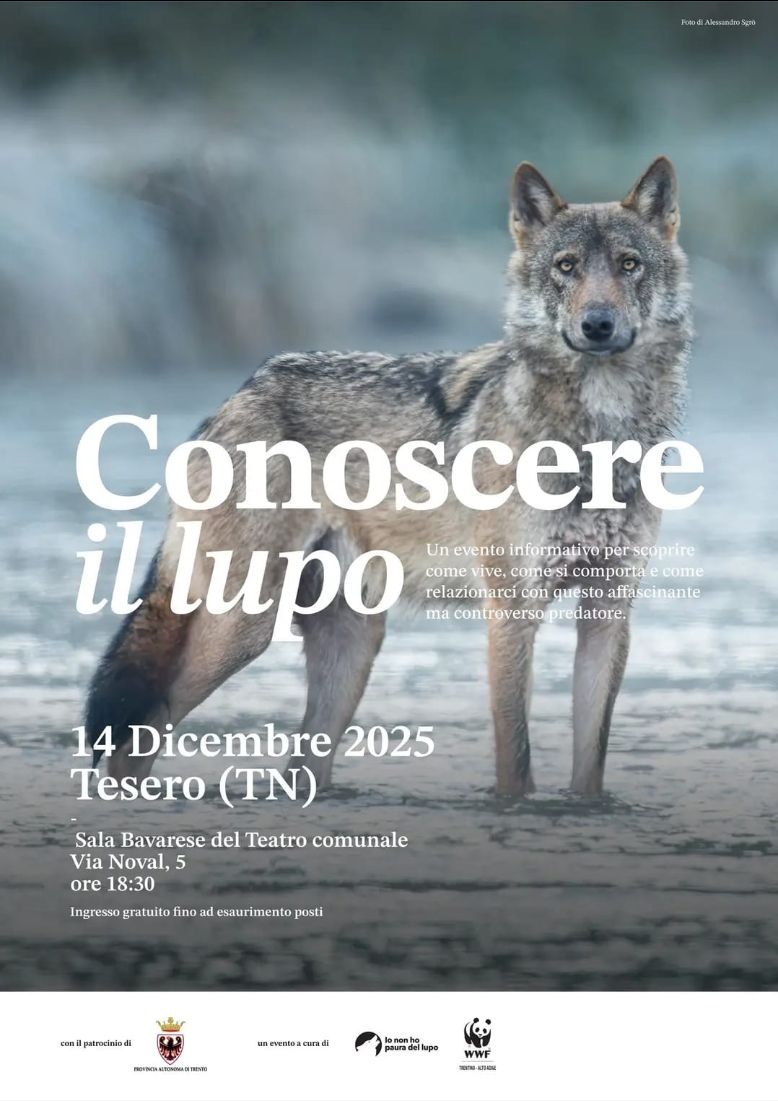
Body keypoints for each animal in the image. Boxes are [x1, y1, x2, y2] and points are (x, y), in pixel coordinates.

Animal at [86, 156, 691, 797]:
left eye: (629, 264)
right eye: (567, 267)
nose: (598, 324)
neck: (599, 432)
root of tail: (237, 395)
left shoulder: (608, 614)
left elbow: (589, 766)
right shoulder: (511, 614)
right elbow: (516, 762)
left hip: (353, 647)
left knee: (298, 767)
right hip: (243, 629)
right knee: (137, 731)